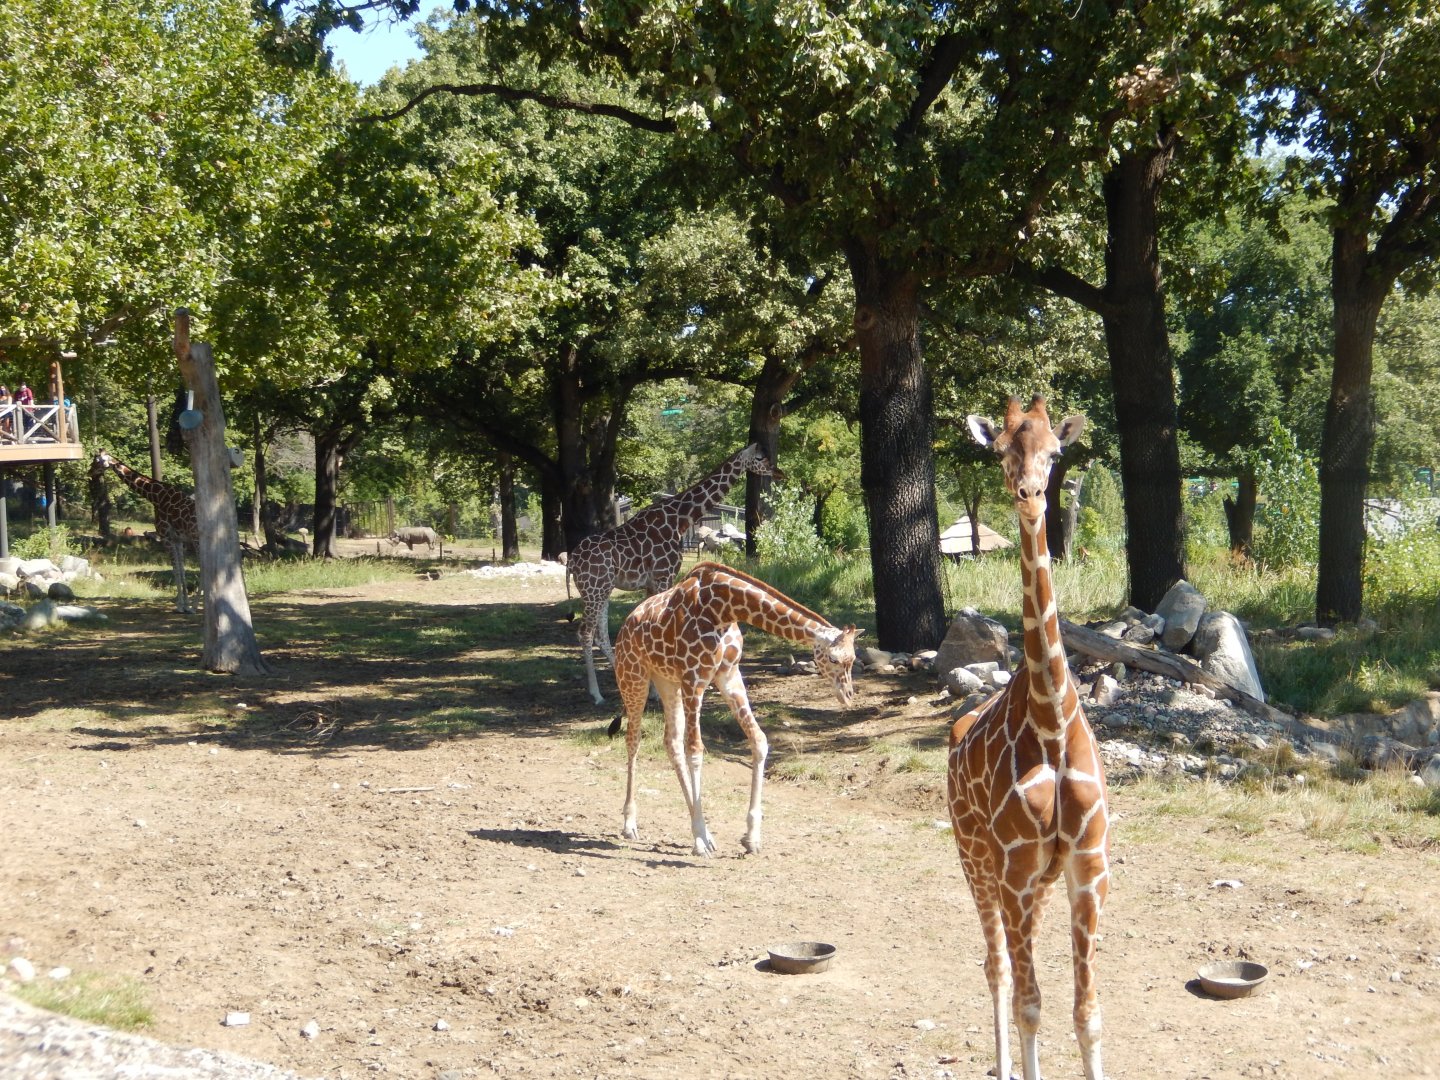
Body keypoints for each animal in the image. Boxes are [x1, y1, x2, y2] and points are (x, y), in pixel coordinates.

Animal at [92, 451, 200, 614]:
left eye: (97, 461)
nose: (90, 472)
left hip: (197, 539)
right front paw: (185, 606)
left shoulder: (166, 536)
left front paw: (181, 606)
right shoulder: (178, 539)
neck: (156, 497)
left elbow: (175, 569)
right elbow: (181, 570)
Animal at [568, 443, 777, 704]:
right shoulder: (664, 575)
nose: (777, 471)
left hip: (601, 589)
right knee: (585, 633)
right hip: (594, 589)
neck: (680, 518)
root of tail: (572, 561)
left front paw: (654, 691)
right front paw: (660, 692)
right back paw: (597, 694)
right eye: (759, 457)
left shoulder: (652, 582)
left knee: (601, 635)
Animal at [610, 561, 858, 856]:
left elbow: (759, 740)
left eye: (853, 659)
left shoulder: (728, 675)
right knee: (633, 739)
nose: (848, 696)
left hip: (666, 681)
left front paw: (751, 837)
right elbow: (696, 751)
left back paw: (705, 831)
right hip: (633, 675)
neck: (723, 609)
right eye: (833, 658)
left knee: (670, 742)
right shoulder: (694, 679)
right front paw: (699, 840)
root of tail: (626, 623)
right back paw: (630, 824)